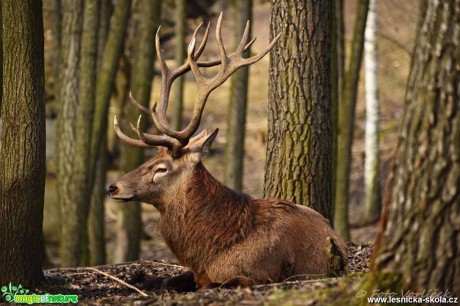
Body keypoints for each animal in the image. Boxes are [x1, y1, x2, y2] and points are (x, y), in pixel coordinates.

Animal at [107, 13, 344, 292]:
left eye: (161, 168)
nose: (113, 187)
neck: (211, 249)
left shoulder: (256, 274)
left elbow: (214, 285)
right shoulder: (197, 272)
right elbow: (166, 279)